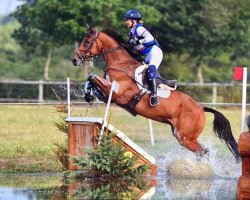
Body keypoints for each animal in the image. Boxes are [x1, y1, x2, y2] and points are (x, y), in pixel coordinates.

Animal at [71, 25, 240, 162]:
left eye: (87, 41)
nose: (74, 60)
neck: (120, 64)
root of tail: (200, 108)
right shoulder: (109, 95)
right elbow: (91, 78)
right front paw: (88, 95)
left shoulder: (117, 92)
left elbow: (92, 76)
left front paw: (88, 93)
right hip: (183, 136)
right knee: (203, 152)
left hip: (185, 137)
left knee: (203, 152)